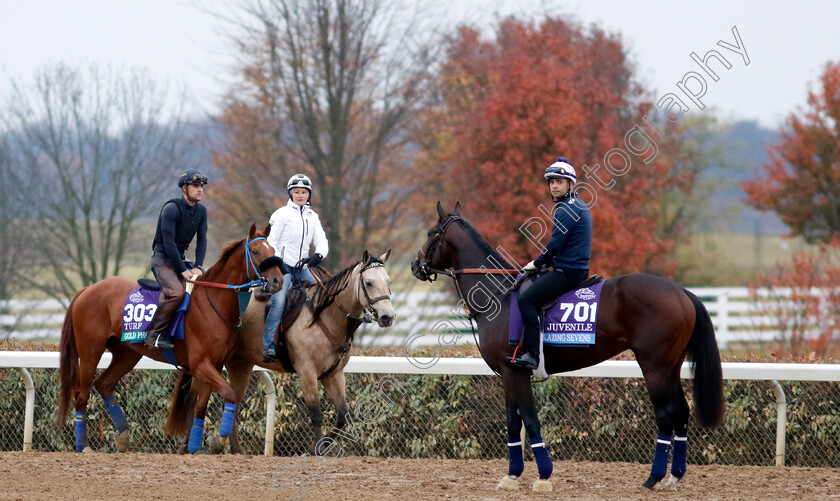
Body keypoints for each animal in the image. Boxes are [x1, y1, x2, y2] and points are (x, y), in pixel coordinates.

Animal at [57, 223, 286, 454]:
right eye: (255, 252)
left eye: (273, 251)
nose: (278, 281)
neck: (214, 304)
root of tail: (87, 290)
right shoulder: (200, 365)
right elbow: (228, 394)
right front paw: (217, 441)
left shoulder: (215, 364)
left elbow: (201, 406)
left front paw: (195, 446)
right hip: (90, 352)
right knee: (81, 394)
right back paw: (84, 445)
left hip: (126, 354)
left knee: (104, 384)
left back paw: (122, 437)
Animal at [410, 202, 724, 488]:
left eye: (431, 233)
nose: (415, 265)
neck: (500, 296)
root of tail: (681, 292)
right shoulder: (507, 374)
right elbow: (513, 422)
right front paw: (512, 475)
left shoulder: (515, 372)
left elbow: (530, 420)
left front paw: (543, 476)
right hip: (671, 367)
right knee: (682, 412)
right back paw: (674, 476)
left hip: (654, 368)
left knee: (666, 416)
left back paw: (653, 478)